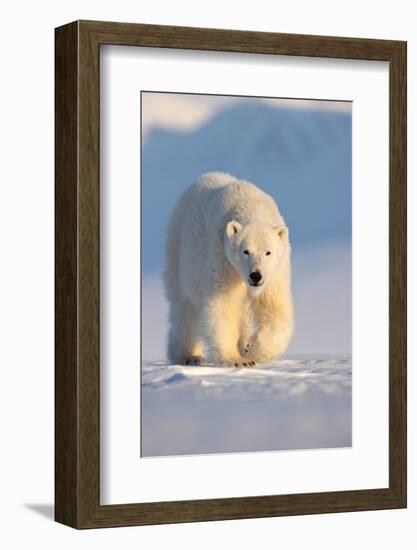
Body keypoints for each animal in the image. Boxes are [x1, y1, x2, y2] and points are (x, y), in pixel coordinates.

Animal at [162, 175, 292, 368]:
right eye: (245, 251)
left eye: (268, 252)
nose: (255, 276)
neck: (251, 205)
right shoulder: (222, 256)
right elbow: (224, 304)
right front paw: (238, 360)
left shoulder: (276, 271)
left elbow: (275, 307)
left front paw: (252, 350)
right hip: (181, 253)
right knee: (185, 307)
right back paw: (189, 355)